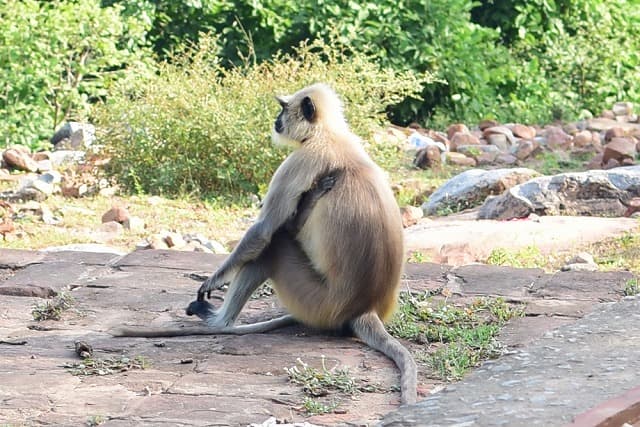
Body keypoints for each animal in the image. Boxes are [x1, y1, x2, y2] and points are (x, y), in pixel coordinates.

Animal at [112, 84, 418, 408]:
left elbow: (263, 232)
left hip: (315, 299)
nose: (276, 120)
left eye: (283, 108)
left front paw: (212, 280)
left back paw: (218, 322)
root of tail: (364, 308)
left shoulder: (299, 161)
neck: (328, 134)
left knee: (273, 247)